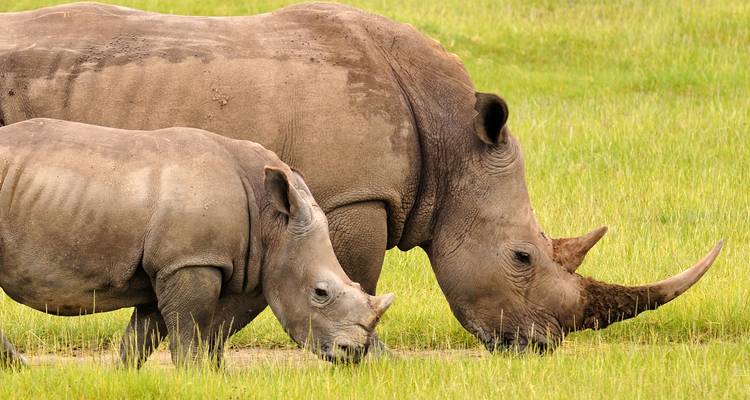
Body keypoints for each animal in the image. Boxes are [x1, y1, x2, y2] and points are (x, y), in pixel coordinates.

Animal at [0, 118, 394, 368]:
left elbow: (141, 338)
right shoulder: (192, 261)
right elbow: (188, 334)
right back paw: (20, 368)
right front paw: (194, 378)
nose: (352, 353)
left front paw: (122, 377)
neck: (272, 222)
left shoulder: (168, 266)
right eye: (320, 292)